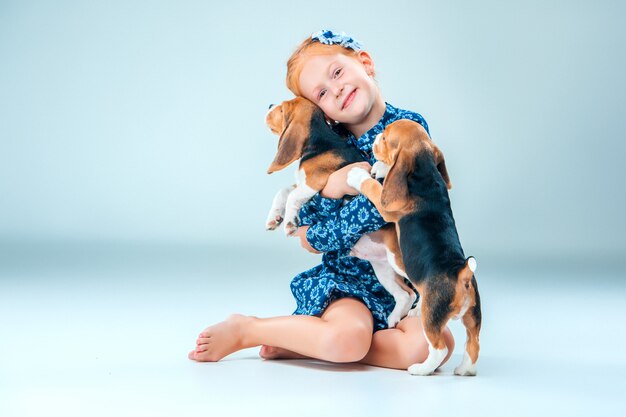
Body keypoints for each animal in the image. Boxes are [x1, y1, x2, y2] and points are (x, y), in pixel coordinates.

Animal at [262, 96, 414, 326]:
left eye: (281, 109)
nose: (269, 105)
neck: (320, 142)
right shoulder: (303, 184)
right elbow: (283, 192)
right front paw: (274, 217)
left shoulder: (314, 182)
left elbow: (292, 197)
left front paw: (289, 222)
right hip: (384, 268)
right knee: (407, 295)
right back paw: (394, 319)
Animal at [344, 118, 480, 376]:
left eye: (385, 138)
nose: (374, 137)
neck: (426, 173)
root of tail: (463, 273)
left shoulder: (385, 206)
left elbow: (373, 187)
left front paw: (358, 174)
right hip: (472, 316)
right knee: (474, 344)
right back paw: (464, 370)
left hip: (428, 312)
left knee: (438, 348)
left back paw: (420, 369)